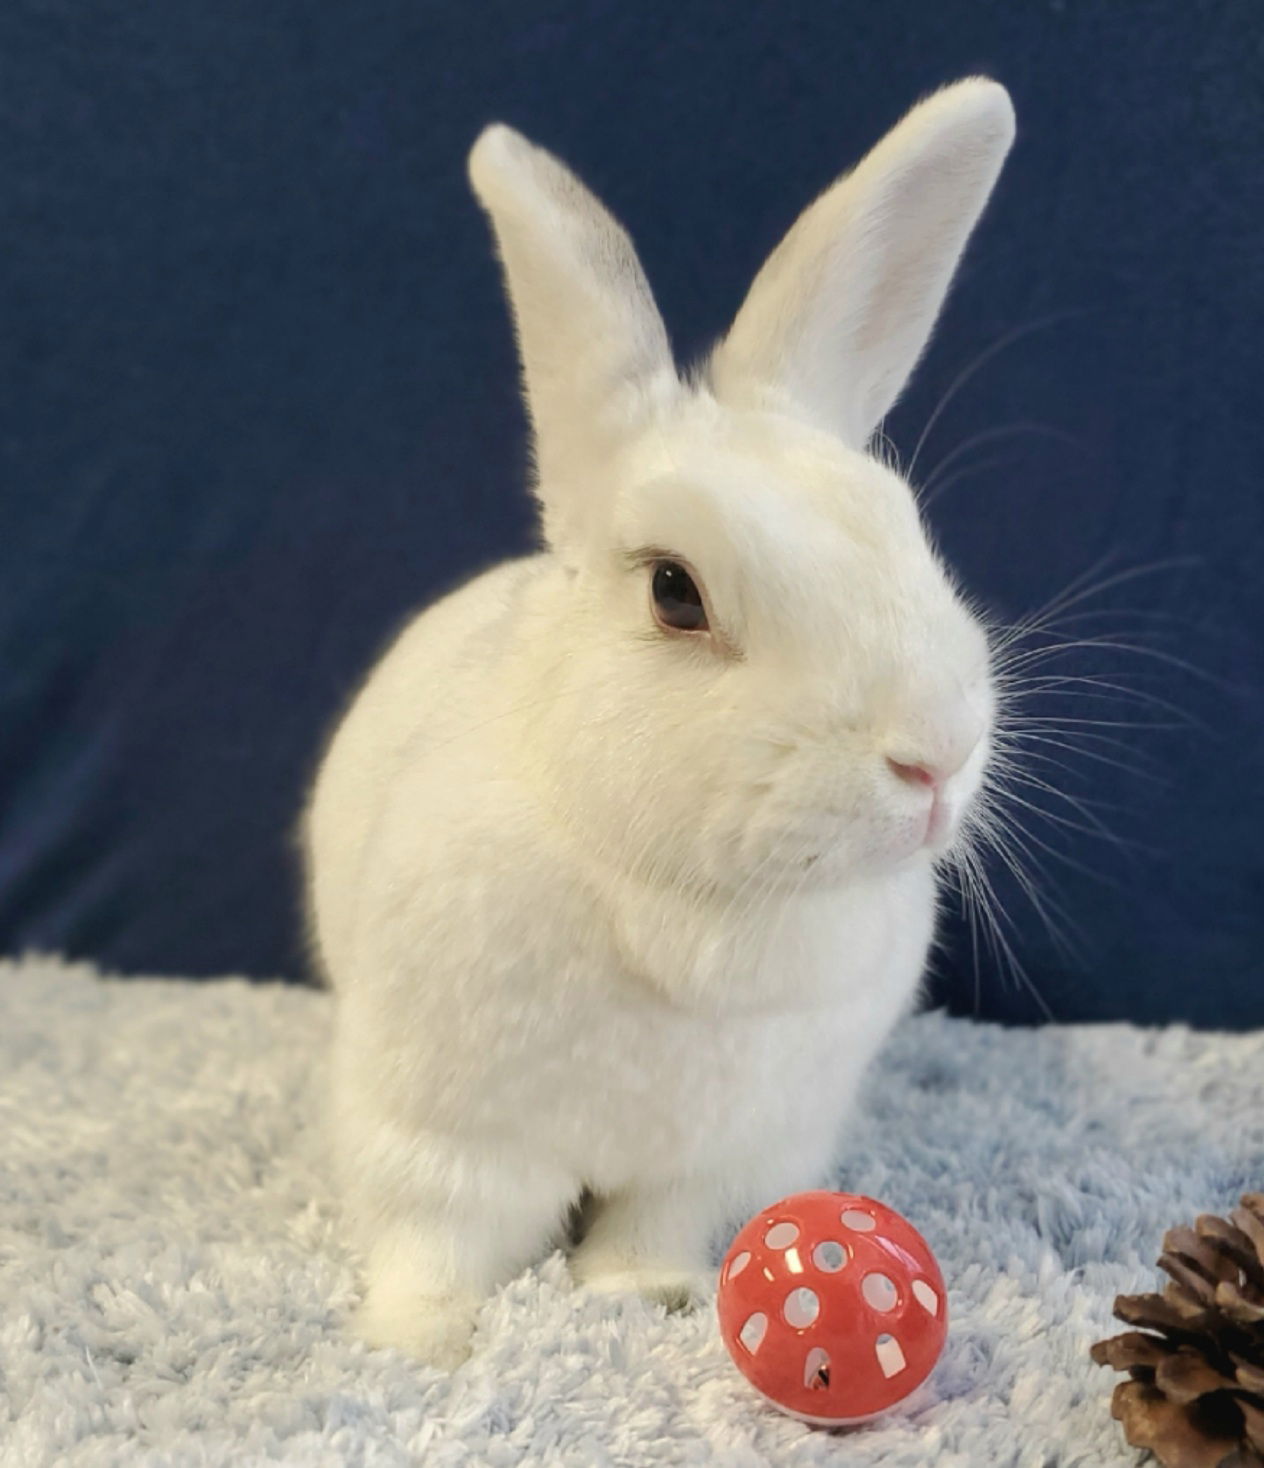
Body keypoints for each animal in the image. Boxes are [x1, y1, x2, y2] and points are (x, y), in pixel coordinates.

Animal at [303, 77, 1015, 1362]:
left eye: (906, 531)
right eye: (676, 590)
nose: (934, 758)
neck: (700, 908)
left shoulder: (724, 1153)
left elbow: (653, 1227)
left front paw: (645, 1294)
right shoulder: (440, 1133)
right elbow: (436, 1240)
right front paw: (415, 1340)